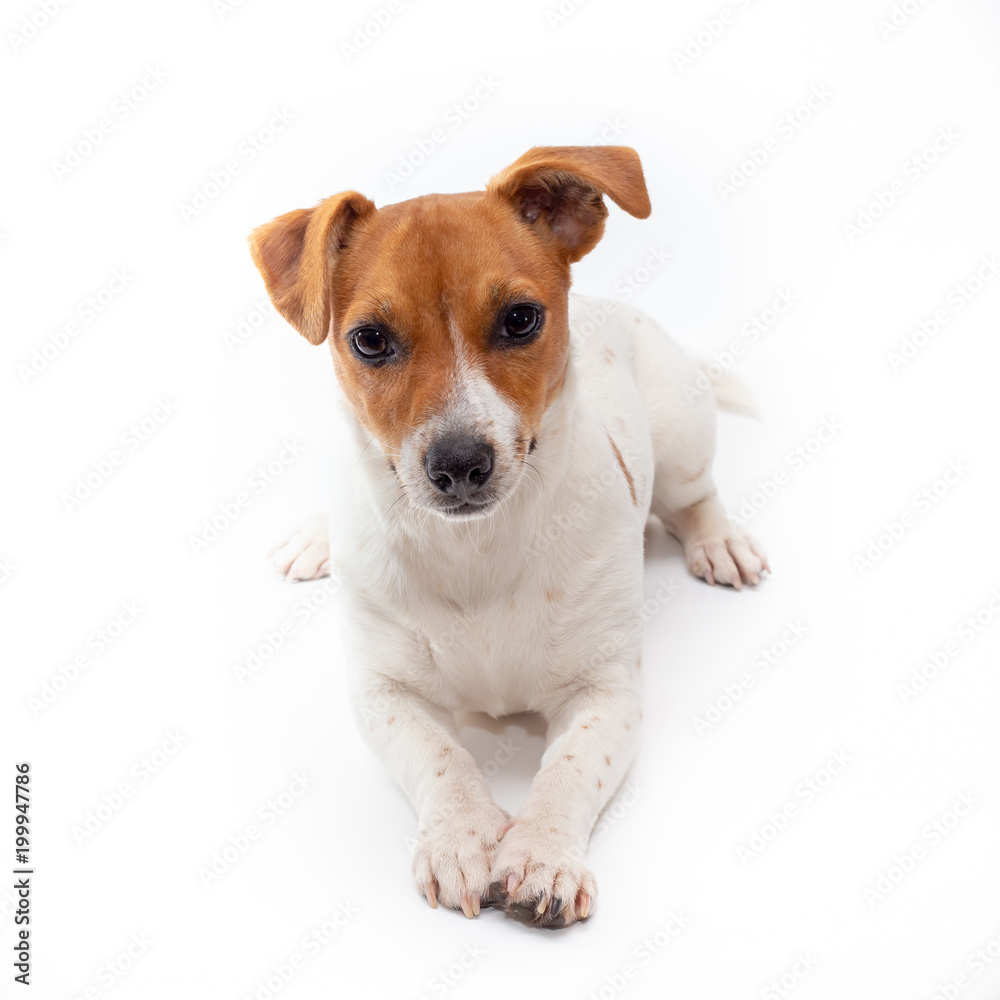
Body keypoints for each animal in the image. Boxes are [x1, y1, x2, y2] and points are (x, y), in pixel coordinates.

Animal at [250, 146, 764, 928]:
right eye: (369, 339)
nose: (459, 463)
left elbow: (569, 771)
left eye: (521, 319)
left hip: (681, 438)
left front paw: (543, 854)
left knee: (694, 496)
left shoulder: (606, 690)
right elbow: (440, 757)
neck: (476, 555)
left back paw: (717, 540)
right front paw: (461, 837)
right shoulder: (383, 692)